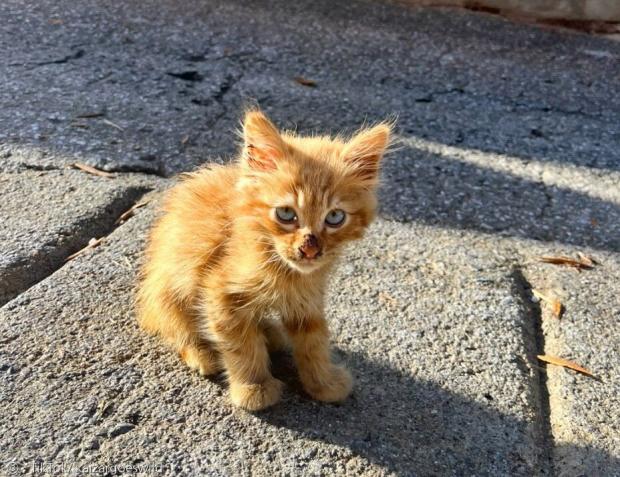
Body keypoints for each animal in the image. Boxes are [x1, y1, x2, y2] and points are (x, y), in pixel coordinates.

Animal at [136, 109, 390, 410]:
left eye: (335, 217)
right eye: (286, 214)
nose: (309, 250)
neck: (286, 272)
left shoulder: (307, 301)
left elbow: (314, 342)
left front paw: (322, 382)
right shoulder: (220, 292)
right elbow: (241, 345)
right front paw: (254, 387)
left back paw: (271, 333)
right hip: (172, 286)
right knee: (174, 326)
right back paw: (201, 354)